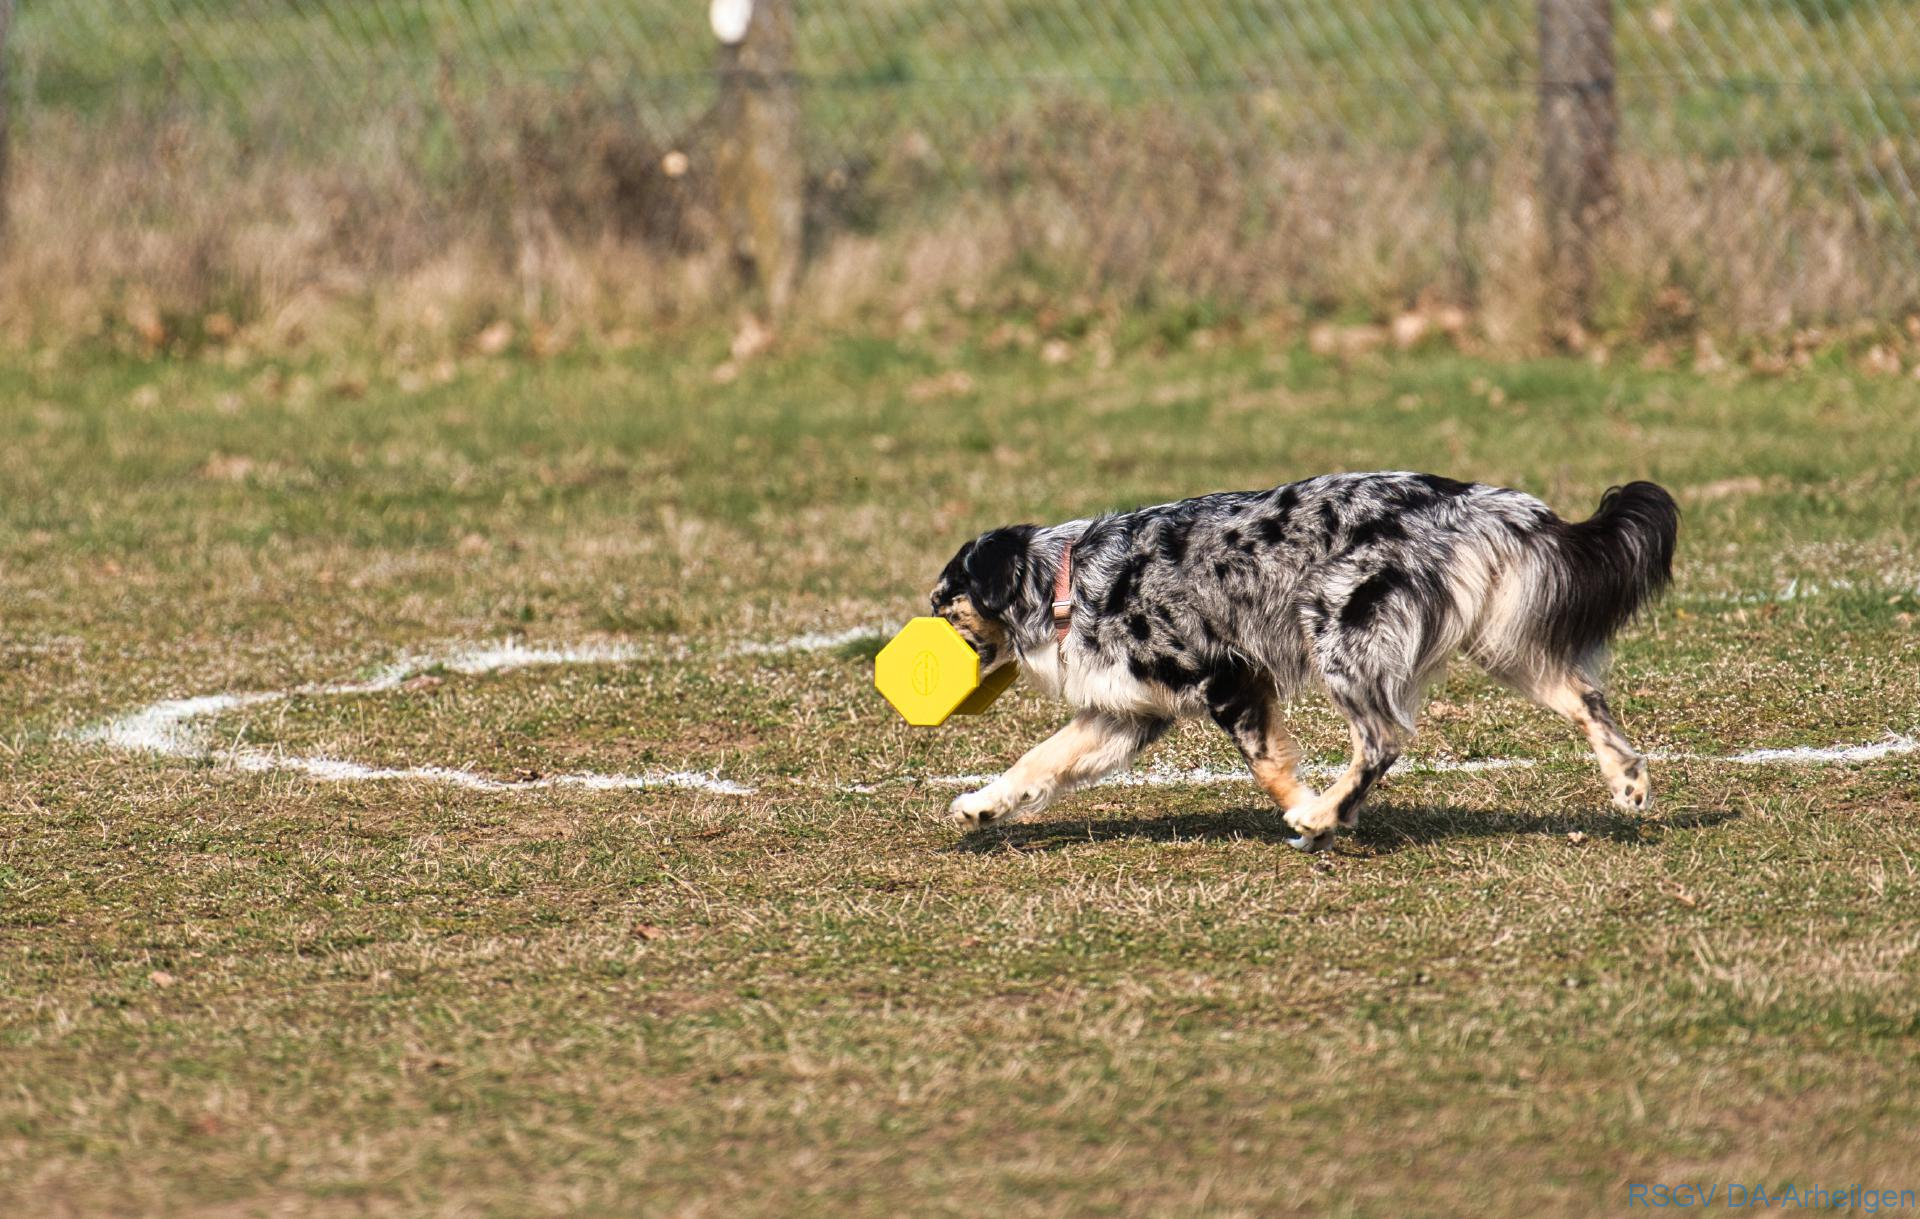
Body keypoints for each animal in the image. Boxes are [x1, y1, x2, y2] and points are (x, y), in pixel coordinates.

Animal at [929, 471, 1678, 850]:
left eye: (945, 603)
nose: (922, 637)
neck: (1069, 582)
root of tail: (1473, 500)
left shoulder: (1228, 676)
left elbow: (1269, 768)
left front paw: (1312, 815)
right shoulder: (1124, 715)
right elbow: (1038, 761)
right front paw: (982, 807)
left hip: (1337, 630)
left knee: (1382, 739)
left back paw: (1326, 813)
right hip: (1504, 641)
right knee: (1585, 697)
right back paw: (1627, 782)